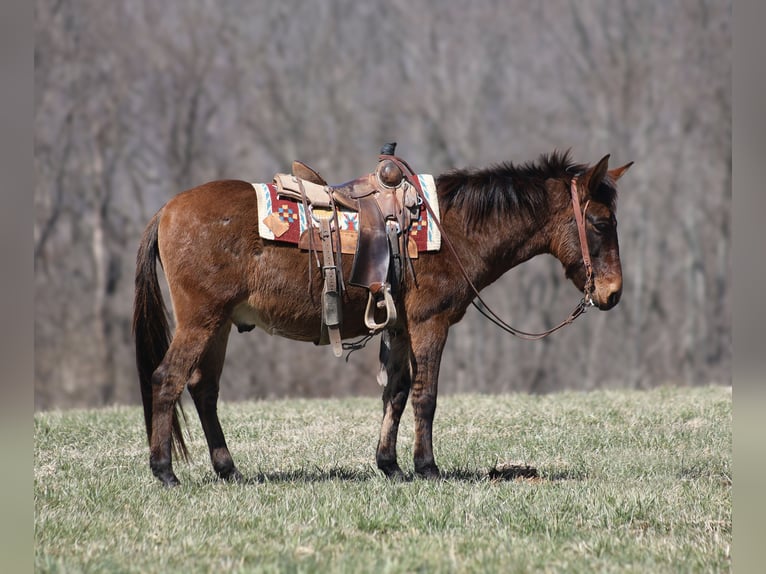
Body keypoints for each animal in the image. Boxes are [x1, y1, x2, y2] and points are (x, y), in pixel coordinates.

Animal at [133, 149, 632, 486]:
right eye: (601, 223)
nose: (612, 293)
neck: (453, 229)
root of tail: (166, 210)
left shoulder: (399, 327)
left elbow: (396, 392)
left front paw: (389, 465)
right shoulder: (430, 322)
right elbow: (425, 396)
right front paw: (427, 467)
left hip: (218, 325)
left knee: (203, 389)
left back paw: (228, 469)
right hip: (200, 320)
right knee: (167, 378)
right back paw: (164, 471)